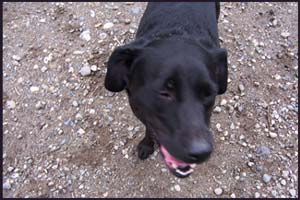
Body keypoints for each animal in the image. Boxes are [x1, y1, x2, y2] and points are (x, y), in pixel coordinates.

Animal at [105, 2, 227, 177]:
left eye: (209, 93)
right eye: (164, 93)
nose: (202, 152)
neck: (177, 30)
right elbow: (149, 127)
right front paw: (147, 144)